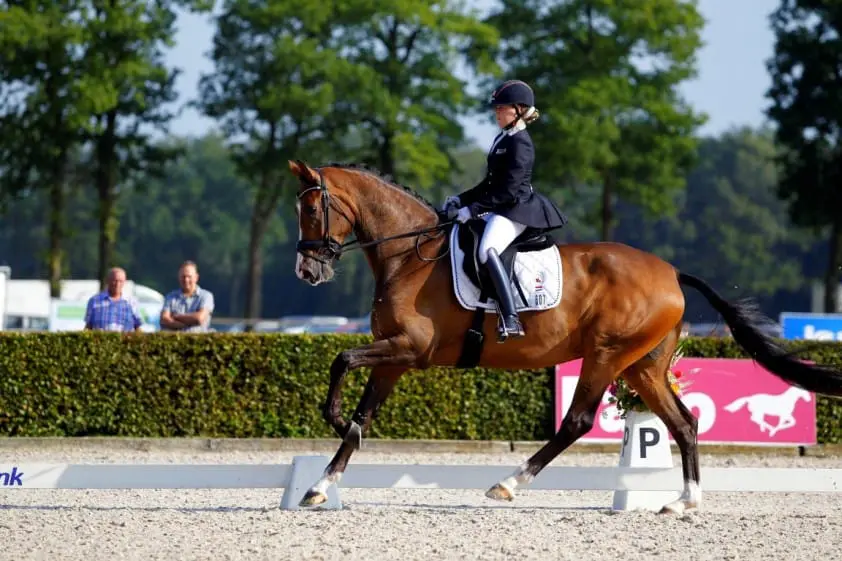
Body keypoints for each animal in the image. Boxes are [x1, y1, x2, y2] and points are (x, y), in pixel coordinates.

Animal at [287, 159, 842, 514]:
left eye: (312, 210)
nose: (307, 272)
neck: (409, 256)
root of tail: (671, 272)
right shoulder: (395, 359)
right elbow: (362, 417)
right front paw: (319, 485)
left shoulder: (409, 350)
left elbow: (341, 360)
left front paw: (333, 421)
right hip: (643, 366)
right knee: (684, 423)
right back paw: (684, 501)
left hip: (606, 356)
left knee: (577, 421)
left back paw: (509, 484)